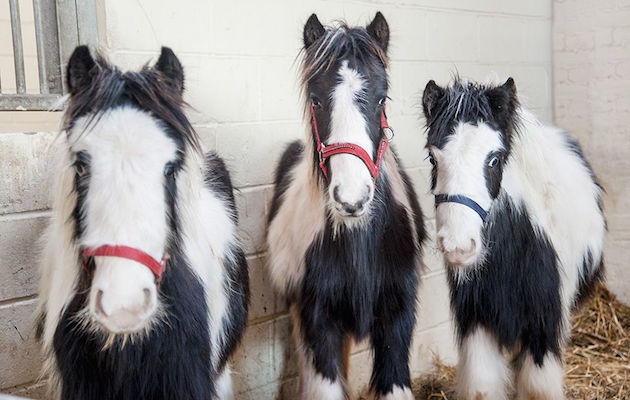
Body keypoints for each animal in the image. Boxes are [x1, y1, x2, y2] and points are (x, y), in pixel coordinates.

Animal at [424, 76, 608, 398]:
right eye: (433, 159)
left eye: (494, 159)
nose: (458, 247)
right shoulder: (477, 320)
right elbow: (483, 386)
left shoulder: (544, 327)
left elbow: (537, 387)